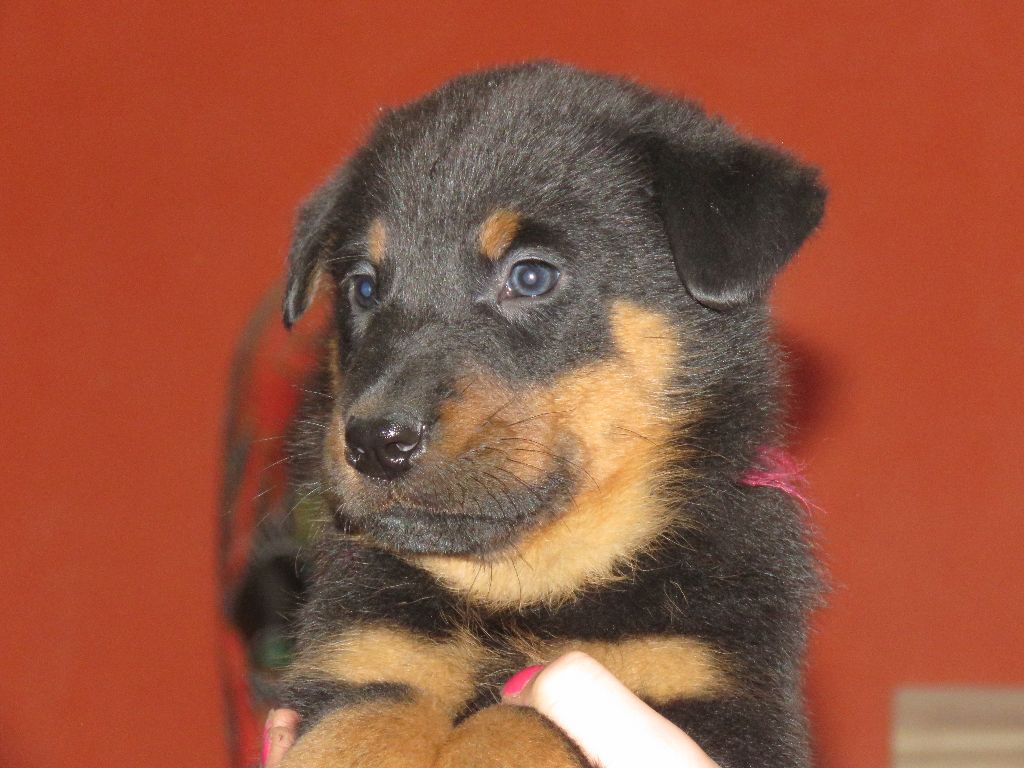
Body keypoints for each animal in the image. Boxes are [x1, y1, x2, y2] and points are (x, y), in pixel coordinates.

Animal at [277, 61, 825, 767]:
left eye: (532, 277)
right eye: (363, 287)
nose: (375, 441)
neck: (523, 590)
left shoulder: (703, 692)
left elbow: (519, 723)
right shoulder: (370, 658)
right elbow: (359, 722)